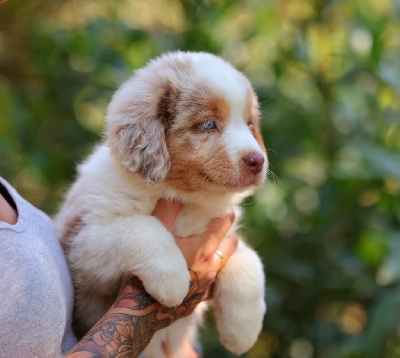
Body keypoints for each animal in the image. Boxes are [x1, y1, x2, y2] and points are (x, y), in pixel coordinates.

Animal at [53, 51, 266, 356]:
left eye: (249, 124)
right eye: (208, 124)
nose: (257, 160)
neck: (185, 198)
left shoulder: (222, 233)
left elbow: (249, 258)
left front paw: (243, 333)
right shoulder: (82, 243)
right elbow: (141, 227)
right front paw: (174, 282)